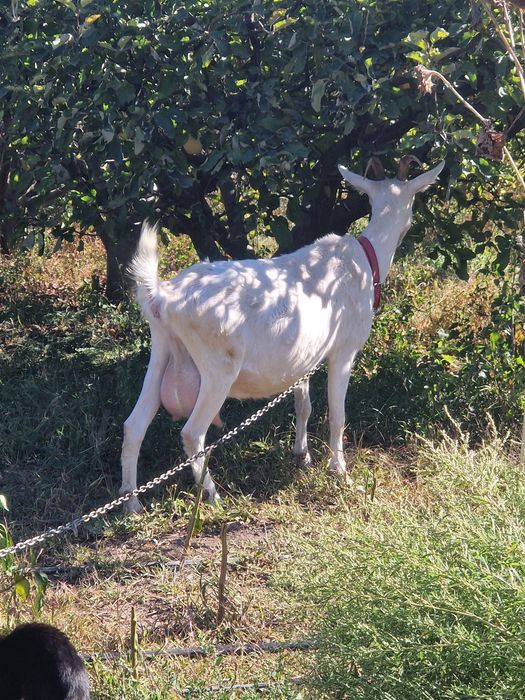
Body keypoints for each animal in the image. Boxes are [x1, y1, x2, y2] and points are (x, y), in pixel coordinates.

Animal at [120, 157, 444, 512]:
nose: (409, 227)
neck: (363, 261)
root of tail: (163, 296)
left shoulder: (304, 355)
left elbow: (304, 404)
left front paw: (302, 455)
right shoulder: (343, 350)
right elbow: (337, 414)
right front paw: (339, 470)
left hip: (162, 350)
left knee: (133, 425)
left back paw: (132, 505)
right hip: (218, 366)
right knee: (192, 433)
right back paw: (214, 495)